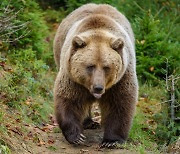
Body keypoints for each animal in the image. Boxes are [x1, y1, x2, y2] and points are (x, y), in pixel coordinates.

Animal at [53, 3, 138, 148]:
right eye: (90, 66)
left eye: (106, 67)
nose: (98, 87)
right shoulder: (72, 76)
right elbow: (68, 98)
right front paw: (77, 136)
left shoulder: (122, 77)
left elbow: (120, 102)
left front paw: (111, 141)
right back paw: (89, 122)